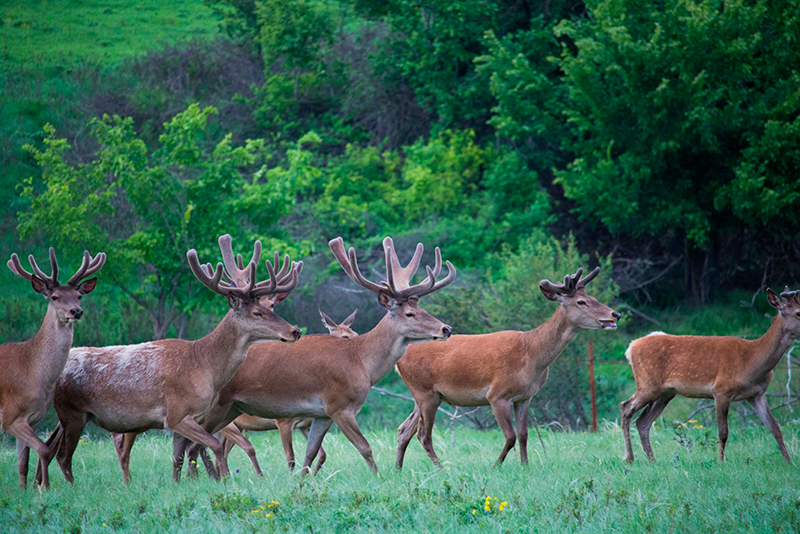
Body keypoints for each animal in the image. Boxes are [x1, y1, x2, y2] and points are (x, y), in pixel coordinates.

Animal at [0, 249, 104, 492]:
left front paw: (25, 491)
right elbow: (45, 449)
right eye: (55, 297)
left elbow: (22, 463)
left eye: (79, 296)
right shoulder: (10, 415)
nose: (77, 311)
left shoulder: (31, 418)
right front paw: (44, 488)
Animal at [33, 234, 304, 486]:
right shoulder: (176, 413)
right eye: (258, 312)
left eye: (271, 307)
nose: (295, 331)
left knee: (51, 446)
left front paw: (178, 485)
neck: (205, 366)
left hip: (67, 417)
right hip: (72, 412)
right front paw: (222, 480)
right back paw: (67, 487)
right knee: (64, 456)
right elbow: (213, 446)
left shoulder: (190, 418)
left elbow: (178, 458)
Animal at [172, 237, 454, 480]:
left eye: (421, 307)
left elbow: (310, 454)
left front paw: (301, 484)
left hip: (232, 408)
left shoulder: (321, 414)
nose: (446, 328)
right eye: (409, 313)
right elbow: (364, 447)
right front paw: (379, 479)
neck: (362, 363)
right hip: (212, 406)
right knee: (192, 444)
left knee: (193, 445)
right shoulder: (339, 404)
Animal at [394, 268, 620, 468]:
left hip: (427, 396)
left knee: (404, 429)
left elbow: (523, 434)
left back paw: (398, 468)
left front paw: (525, 466)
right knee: (423, 434)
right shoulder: (497, 394)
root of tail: (399, 359)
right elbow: (510, 436)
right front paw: (495, 465)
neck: (532, 356)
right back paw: (441, 468)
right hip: (425, 392)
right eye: (581, 302)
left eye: (592, 296)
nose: (615, 314)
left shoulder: (524, 397)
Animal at [624, 288, 800, 464]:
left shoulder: (757, 394)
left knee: (642, 421)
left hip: (666, 393)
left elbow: (774, 427)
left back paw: (652, 460)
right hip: (648, 384)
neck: (751, 363)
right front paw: (720, 462)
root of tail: (631, 347)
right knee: (625, 407)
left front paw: (789, 461)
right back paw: (629, 458)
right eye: (798, 313)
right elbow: (723, 432)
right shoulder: (721, 390)